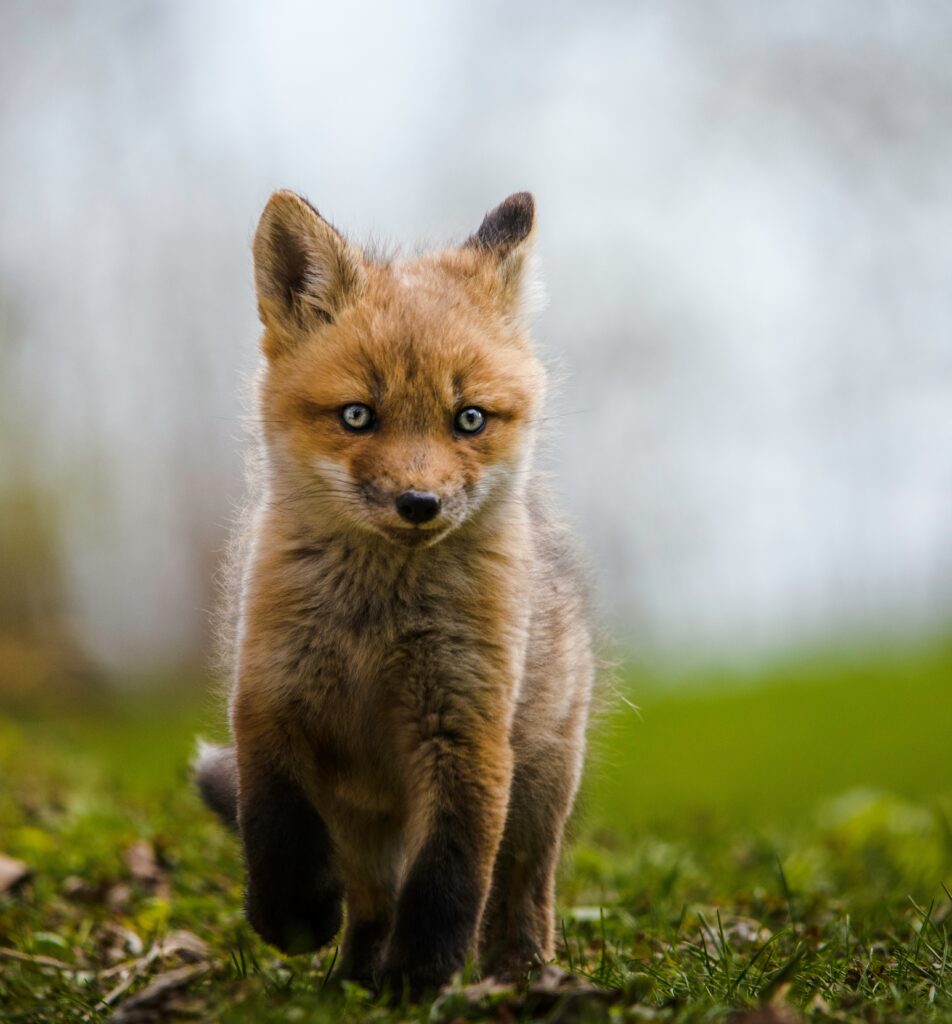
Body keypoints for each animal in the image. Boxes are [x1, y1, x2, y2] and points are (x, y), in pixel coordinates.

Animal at [194, 188, 595, 996]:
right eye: (358, 415)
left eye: (468, 418)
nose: (419, 503)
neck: (375, 624)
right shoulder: (269, 701)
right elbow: (274, 827)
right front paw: (292, 916)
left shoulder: (466, 731)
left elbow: (449, 874)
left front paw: (420, 976)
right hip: (359, 820)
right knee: (371, 898)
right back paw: (350, 978)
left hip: (541, 792)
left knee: (520, 891)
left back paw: (521, 978)